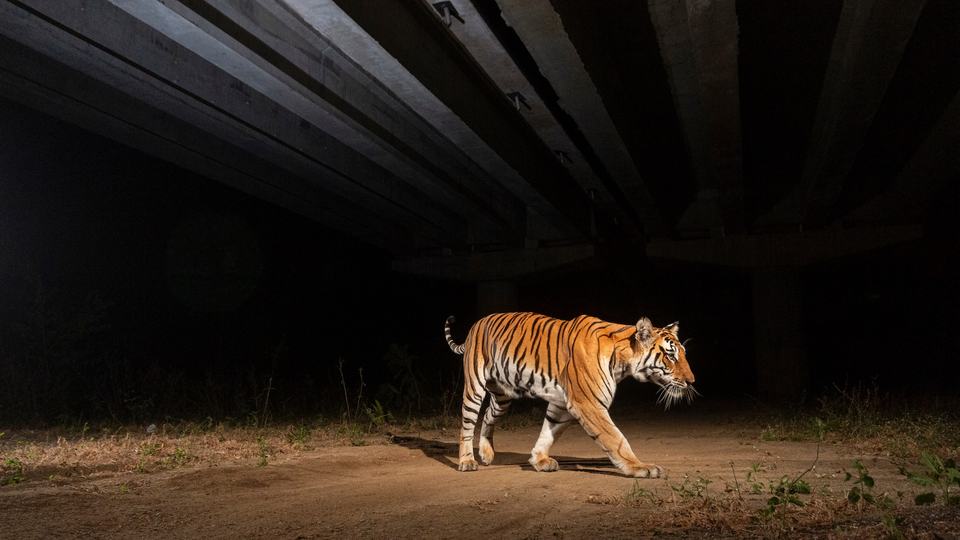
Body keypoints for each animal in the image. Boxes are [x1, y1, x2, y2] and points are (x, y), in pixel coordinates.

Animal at [444, 312, 696, 478]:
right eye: (671, 356)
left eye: (683, 353)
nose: (691, 381)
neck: (623, 360)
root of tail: (478, 322)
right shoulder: (588, 404)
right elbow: (616, 439)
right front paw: (640, 467)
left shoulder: (563, 405)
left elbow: (548, 432)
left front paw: (538, 459)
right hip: (475, 386)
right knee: (467, 424)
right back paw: (467, 461)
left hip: (502, 395)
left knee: (488, 416)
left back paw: (486, 454)